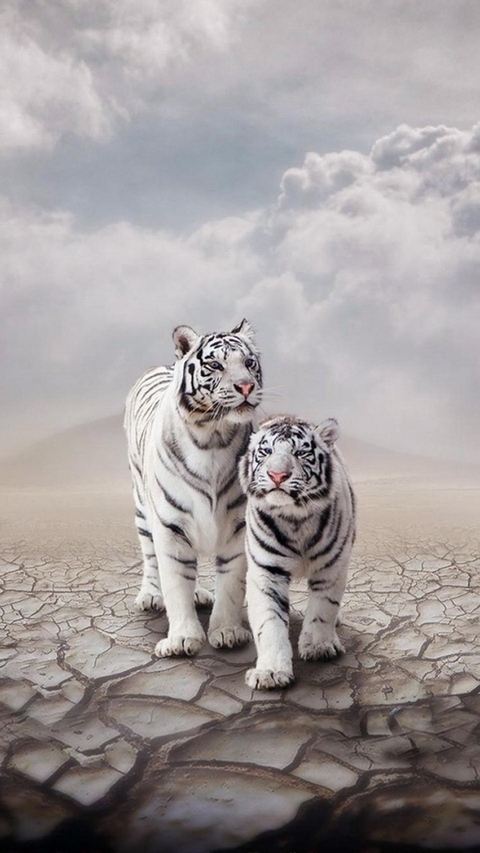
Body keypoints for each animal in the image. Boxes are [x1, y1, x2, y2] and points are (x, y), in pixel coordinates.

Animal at [124, 319, 263, 657]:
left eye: (249, 363)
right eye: (215, 365)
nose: (246, 387)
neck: (213, 436)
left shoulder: (237, 527)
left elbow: (231, 584)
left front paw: (227, 631)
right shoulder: (170, 527)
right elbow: (175, 583)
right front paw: (182, 639)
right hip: (142, 507)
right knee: (150, 556)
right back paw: (150, 595)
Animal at [239, 414, 356, 689]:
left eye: (301, 452)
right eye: (266, 451)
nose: (277, 475)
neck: (295, 519)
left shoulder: (331, 567)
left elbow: (323, 608)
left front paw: (319, 646)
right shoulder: (266, 572)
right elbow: (269, 622)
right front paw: (270, 672)